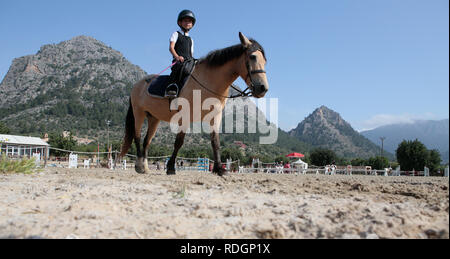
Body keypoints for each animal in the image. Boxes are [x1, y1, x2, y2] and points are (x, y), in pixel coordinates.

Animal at [118, 31, 268, 176]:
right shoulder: (185, 116)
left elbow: (215, 142)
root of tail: (137, 85)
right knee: (137, 137)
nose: (263, 88)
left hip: (154, 118)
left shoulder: (215, 116)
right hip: (139, 114)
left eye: (265, 61)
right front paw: (171, 168)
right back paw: (139, 167)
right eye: (253, 57)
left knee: (146, 141)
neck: (208, 81)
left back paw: (145, 168)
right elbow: (179, 142)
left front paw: (219, 169)